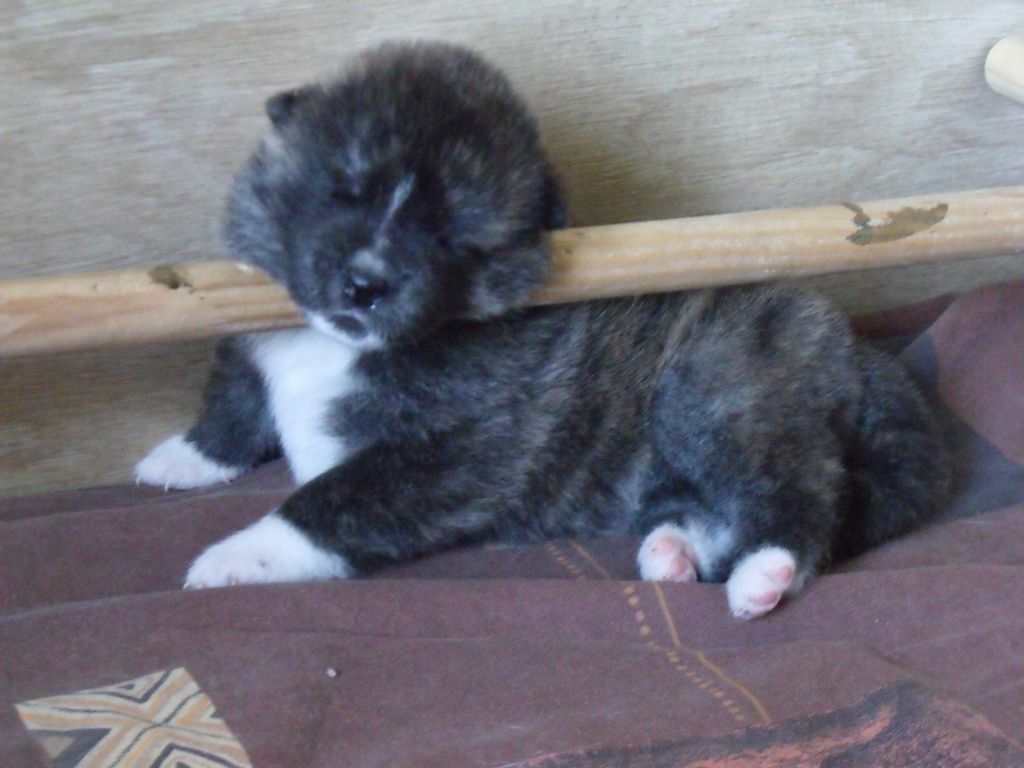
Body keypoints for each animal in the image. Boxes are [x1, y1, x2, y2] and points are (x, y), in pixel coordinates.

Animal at [136, 41, 947, 618]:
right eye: (345, 188)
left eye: (453, 239)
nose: (367, 284)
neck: (338, 344)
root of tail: (853, 344)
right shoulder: (256, 334)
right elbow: (235, 398)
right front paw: (187, 456)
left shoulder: (456, 451)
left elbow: (329, 501)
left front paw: (237, 557)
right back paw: (673, 552)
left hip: (716, 392)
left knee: (805, 480)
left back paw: (766, 572)